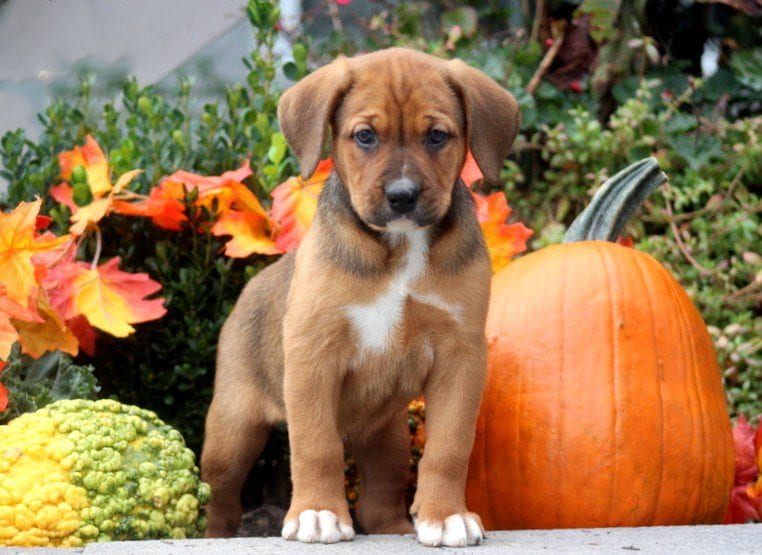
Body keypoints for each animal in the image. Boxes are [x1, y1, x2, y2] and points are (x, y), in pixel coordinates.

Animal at [199, 48, 520, 548]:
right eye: (365, 136)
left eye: (437, 136)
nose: (403, 196)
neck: (400, 247)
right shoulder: (314, 356)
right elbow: (316, 446)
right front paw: (317, 512)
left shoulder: (460, 356)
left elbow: (449, 447)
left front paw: (445, 515)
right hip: (232, 431)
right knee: (222, 496)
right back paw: (218, 535)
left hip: (387, 436)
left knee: (380, 495)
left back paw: (396, 527)